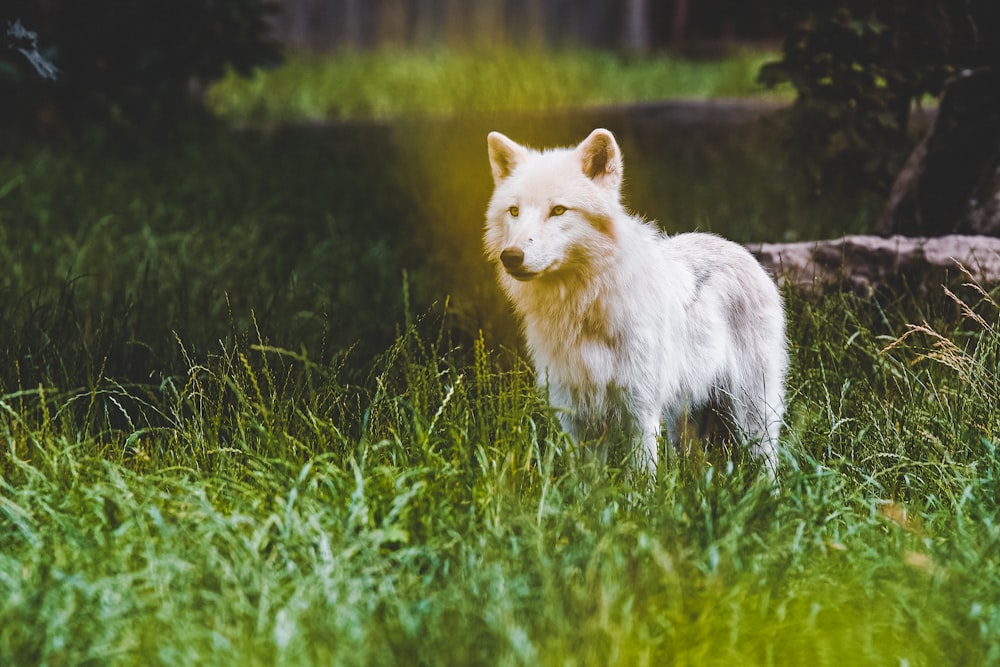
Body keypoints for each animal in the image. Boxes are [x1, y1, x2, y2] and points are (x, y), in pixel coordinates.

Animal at [484, 128, 788, 478]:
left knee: (768, 460)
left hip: (752, 413)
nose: (511, 256)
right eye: (514, 211)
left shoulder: (640, 413)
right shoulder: (576, 419)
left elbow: (640, 481)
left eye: (558, 210)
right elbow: (585, 483)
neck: (584, 307)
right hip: (683, 420)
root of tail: (735, 248)